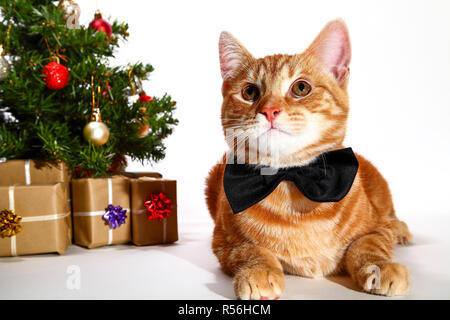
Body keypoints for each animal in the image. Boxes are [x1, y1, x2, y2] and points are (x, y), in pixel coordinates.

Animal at [206, 19, 414, 300]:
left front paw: (381, 267)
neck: (292, 178)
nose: (269, 111)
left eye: (301, 88)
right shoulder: (223, 241)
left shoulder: (377, 228)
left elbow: (368, 243)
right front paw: (258, 271)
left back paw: (401, 230)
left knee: (391, 218)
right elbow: (249, 249)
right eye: (249, 92)